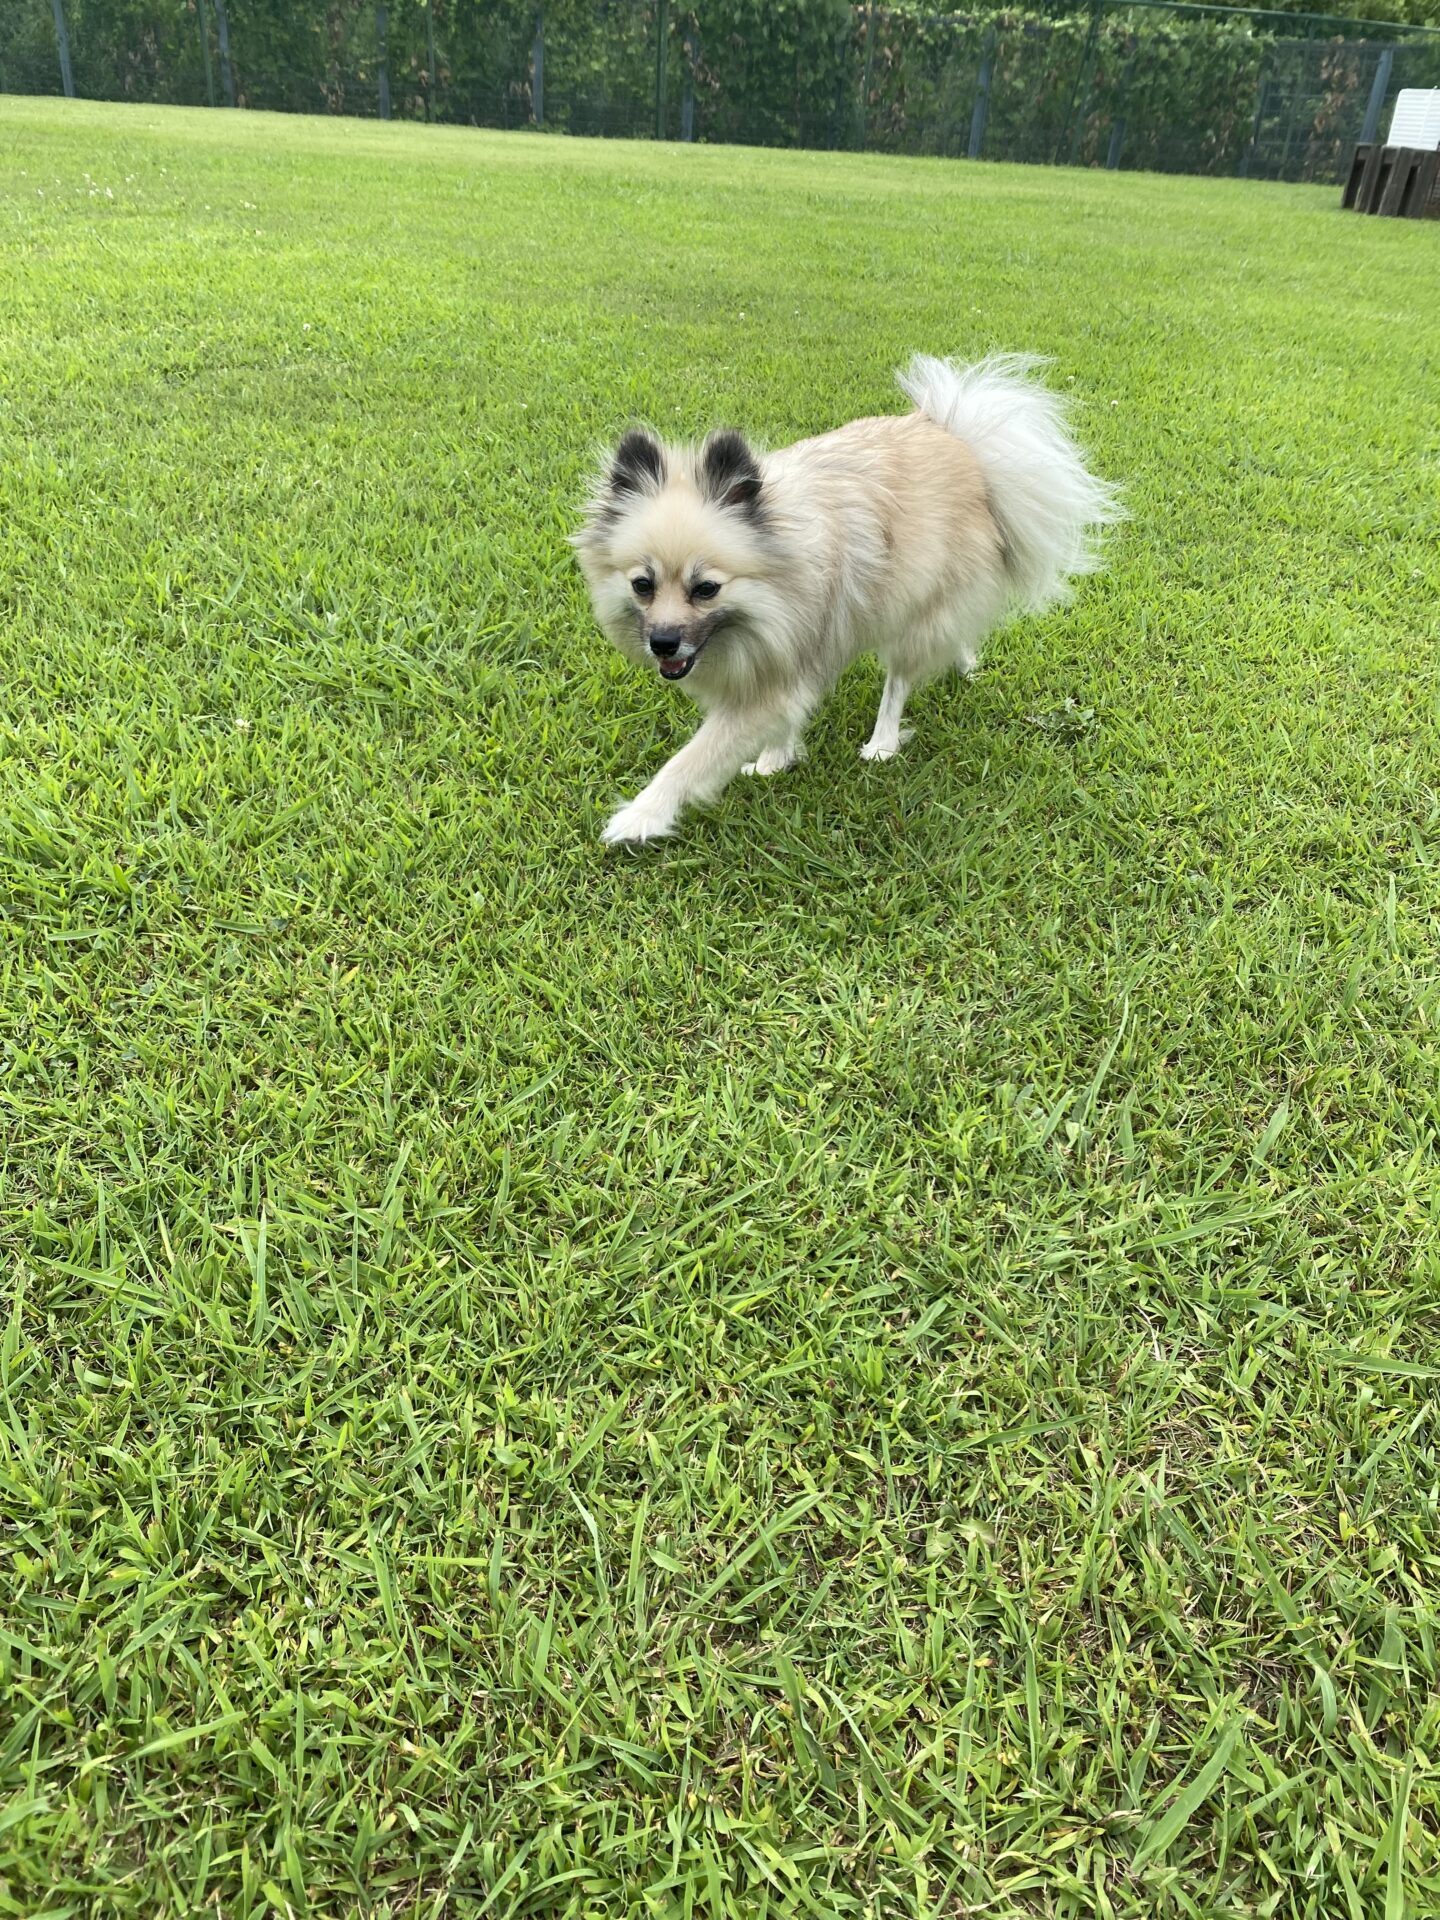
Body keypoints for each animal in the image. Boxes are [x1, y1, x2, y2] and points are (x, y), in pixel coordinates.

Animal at [574, 354, 1120, 844]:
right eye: (642, 585)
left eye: (706, 589)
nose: (663, 643)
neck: (780, 570)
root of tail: (960, 442)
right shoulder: (782, 663)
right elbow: (783, 720)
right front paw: (775, 760)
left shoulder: (767, 682)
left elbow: (689, 760)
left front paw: (639, 817)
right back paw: (964, 662)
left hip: (912, 611)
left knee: (900, 680)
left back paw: (882, 742)